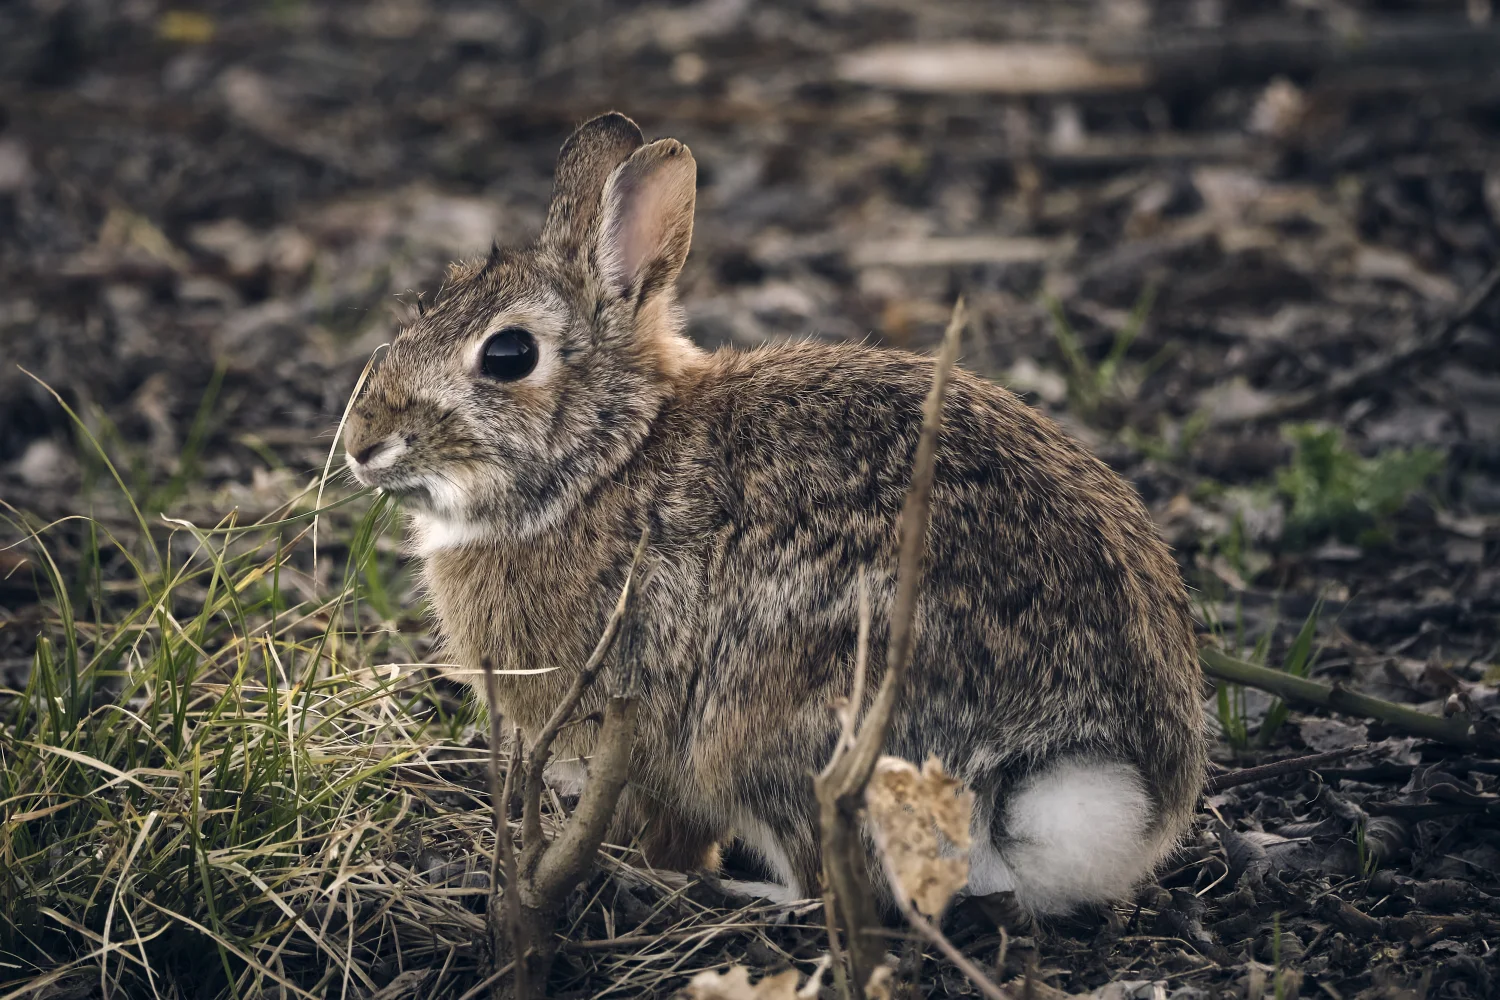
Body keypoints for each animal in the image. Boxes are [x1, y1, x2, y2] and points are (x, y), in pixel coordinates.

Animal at [343, 111, 1207, 917]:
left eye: (509, 355)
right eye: (428, 304)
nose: (361, 444)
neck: (609, 458)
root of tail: (1068, 770)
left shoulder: (634, 731)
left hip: (773, 729)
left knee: (827, 883)